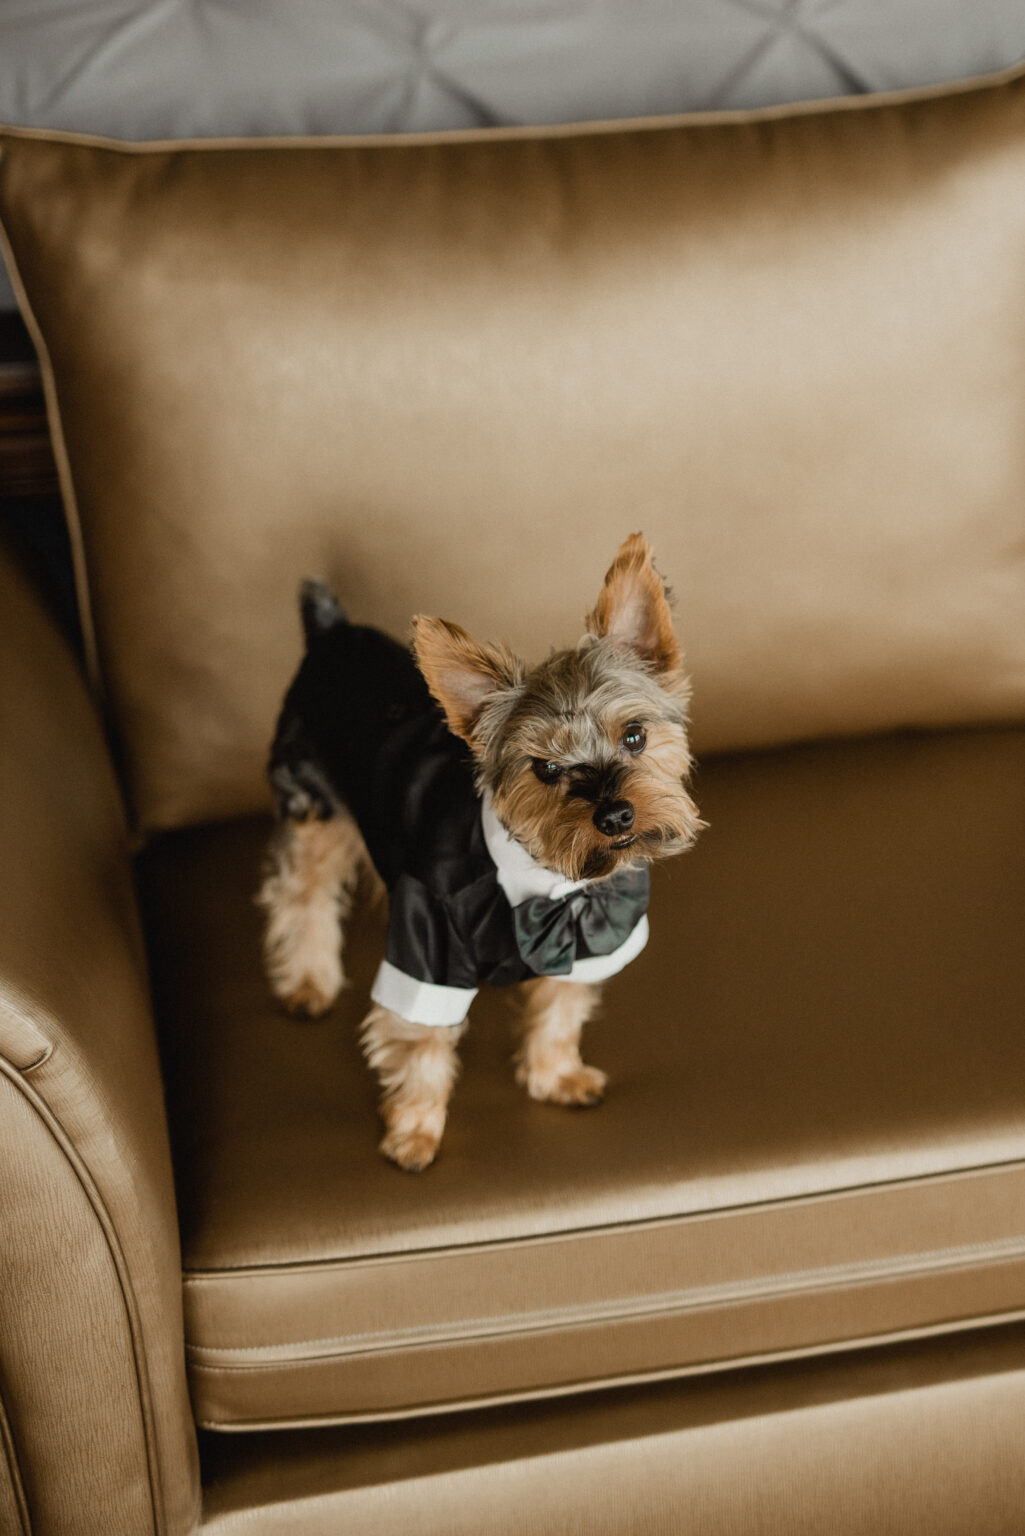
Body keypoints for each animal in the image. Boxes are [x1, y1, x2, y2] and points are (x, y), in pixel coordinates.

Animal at [261, 534, 700, 1167]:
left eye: (635, 736)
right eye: (545, 769)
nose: (615, 815)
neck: (549, 877)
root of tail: (332, 633)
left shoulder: (590, 933)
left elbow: (560, 1008)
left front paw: (555, 1075)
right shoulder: (428, 939)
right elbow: (421, 1041)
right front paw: (414, 1133)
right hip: (312, 804)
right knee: (301, 894)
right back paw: (308, 984)